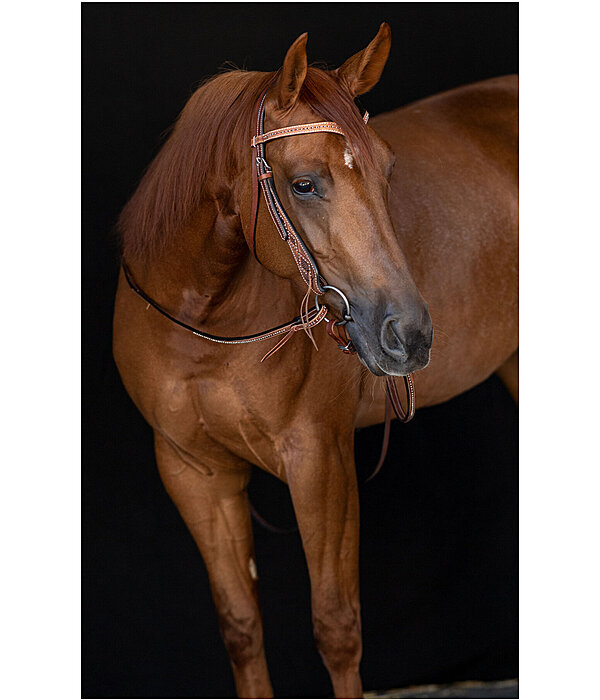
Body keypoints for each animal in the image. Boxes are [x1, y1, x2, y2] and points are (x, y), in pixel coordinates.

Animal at [115, 23, 516, 700]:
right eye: (304, 183)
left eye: (388, 170)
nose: (408, 334)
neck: (204, 327)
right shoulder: (195, 471)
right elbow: (241, 627)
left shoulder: (320, 460)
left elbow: (336, 628)